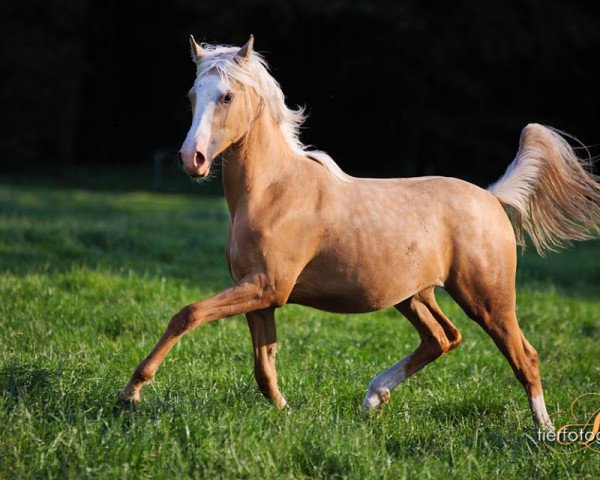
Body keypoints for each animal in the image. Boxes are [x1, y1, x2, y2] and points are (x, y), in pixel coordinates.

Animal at [118, 34, 600, 432]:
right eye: (191, 95)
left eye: (227, 95)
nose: (192, 159)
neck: (273, 190)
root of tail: (490, 197)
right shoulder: (259, 292)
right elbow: (264, 362)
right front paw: (286, 412)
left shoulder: (267, 286)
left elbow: (188, 314)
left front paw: (132, 392)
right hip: (414, 295)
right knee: (443, 337)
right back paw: (373, 398)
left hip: (487, 297)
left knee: (524, 356)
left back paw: (546, 433)